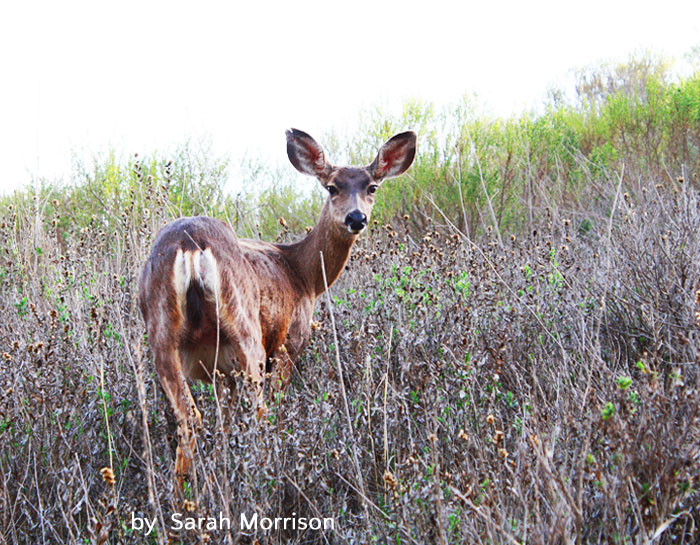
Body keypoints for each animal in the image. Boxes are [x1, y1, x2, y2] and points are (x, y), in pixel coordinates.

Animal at [139, 129, 418, 484]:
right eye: (332, 187)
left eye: (372, 187)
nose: (356, 218)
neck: (303, 274)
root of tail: (190, 245)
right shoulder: (289, 343)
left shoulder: (221, 371)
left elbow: (224, 421)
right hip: (247, 334)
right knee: (259, 411)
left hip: (163, 336)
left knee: (189, 418)